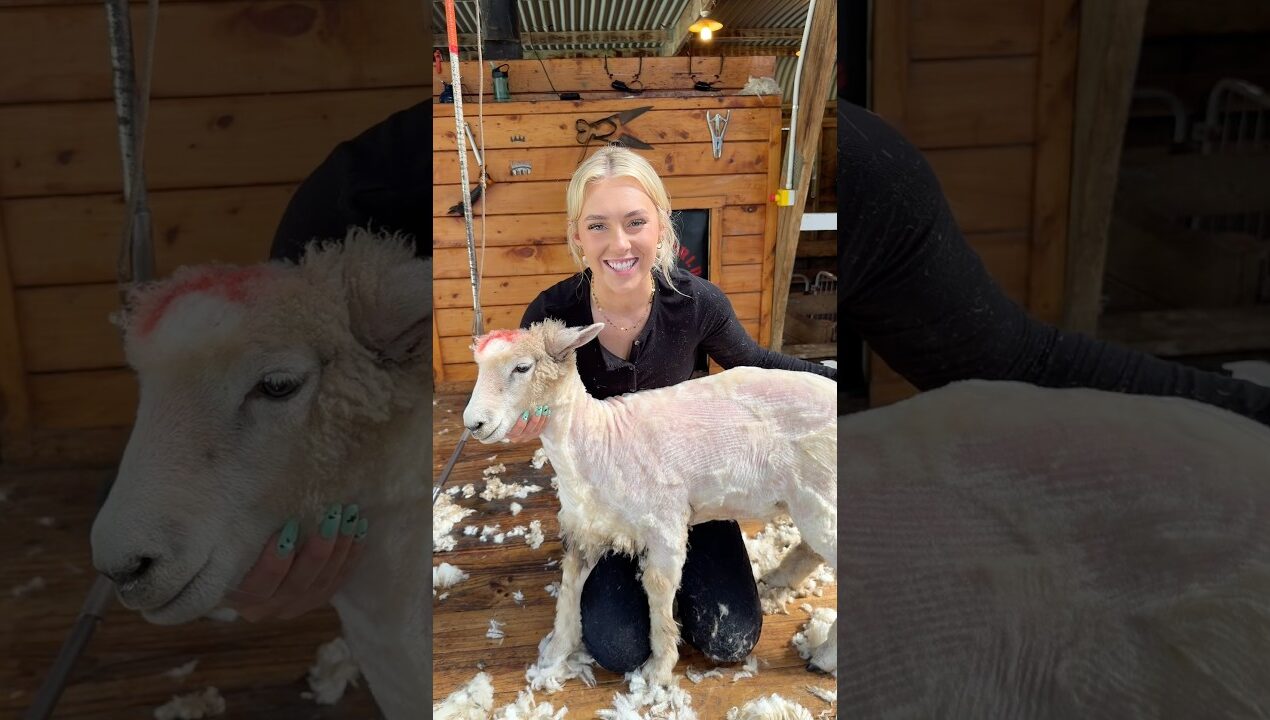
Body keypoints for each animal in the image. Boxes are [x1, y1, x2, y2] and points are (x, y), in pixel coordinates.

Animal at [461, 319, 838, 689]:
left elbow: (657, 589)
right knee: (813, 549)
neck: (597, 441)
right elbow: (569, 588)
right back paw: (779, 580)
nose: (473, 424)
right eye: (478, 366)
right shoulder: (583, 530)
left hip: (821, 495)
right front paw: (555, 653)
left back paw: (823, 657)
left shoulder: (664, 526)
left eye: (522, 367)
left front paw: (659, 667)